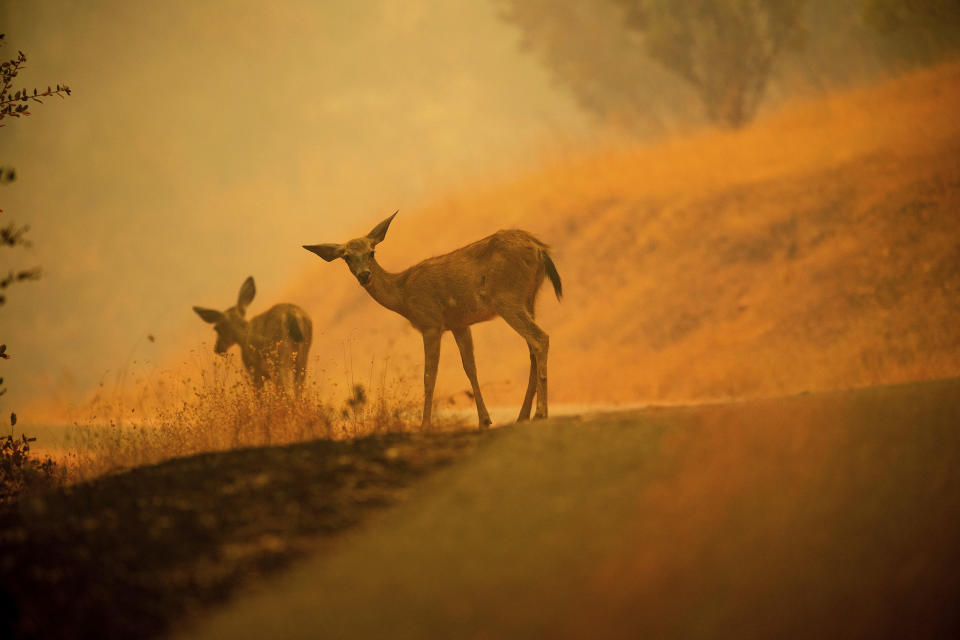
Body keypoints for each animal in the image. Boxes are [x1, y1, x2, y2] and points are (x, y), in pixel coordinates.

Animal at [304, 212, 564, 428]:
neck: (403, 295)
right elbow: (470, 368)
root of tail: (540, 248)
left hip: (507, 298)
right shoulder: (459, 324)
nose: (364, 275)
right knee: (532, 349)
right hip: (529, 299)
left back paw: (540, 413)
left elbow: (429, 376)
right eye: (347, 257)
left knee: (540, 338)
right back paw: (523, 416)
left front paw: (424, 425)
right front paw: (484, 420)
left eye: (371, 252)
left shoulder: (430, 323)